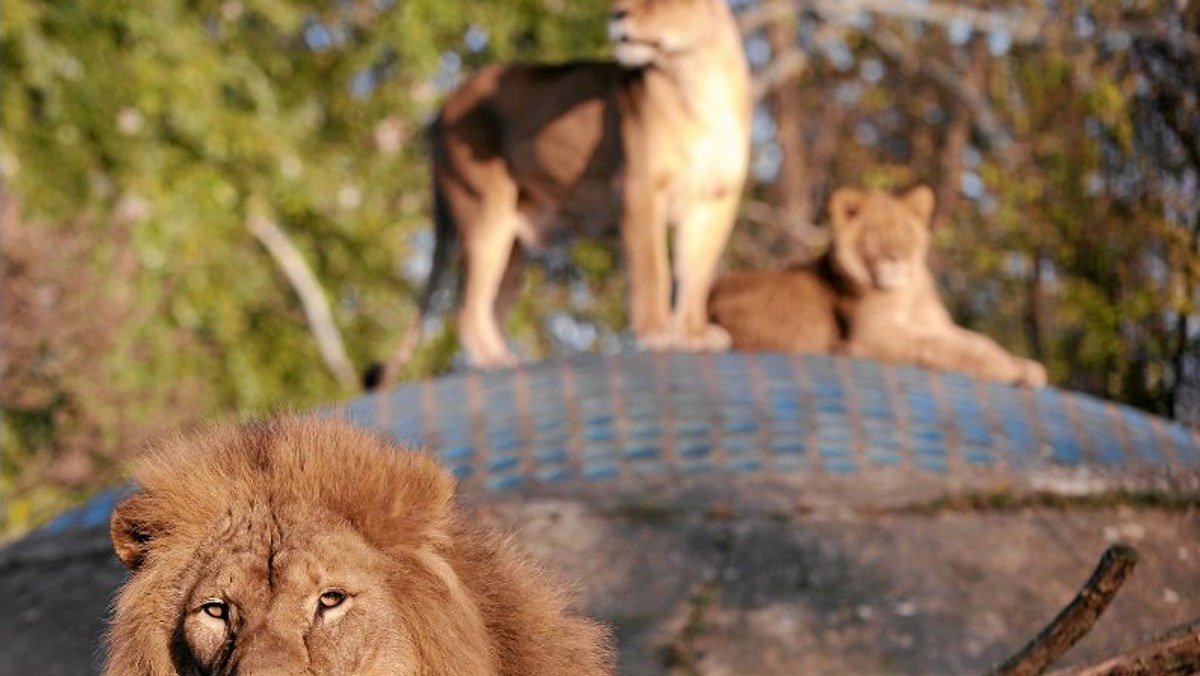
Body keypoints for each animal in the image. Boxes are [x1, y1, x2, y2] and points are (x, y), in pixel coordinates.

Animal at [379, 0, 748, 384]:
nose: (617, 14)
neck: (698, 76)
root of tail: (444, 106)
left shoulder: (715, 201)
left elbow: (697, 273)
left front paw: (694, 334)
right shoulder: (639, 190)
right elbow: (652, 269)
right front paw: (658, 333)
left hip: (512, 247)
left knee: (490, 306)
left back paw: (501, 356)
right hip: (482, 212)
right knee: (465, 307)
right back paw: (494, 361)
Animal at [705, 186, 1046, 386]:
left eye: (906, 231)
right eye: (874, 233)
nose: (895, 258)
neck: (908, 293)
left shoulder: (936, 324)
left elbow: (979, 341)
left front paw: (1026, 367)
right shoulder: (872, 337)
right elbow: (940, 346)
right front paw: (1002, 368)